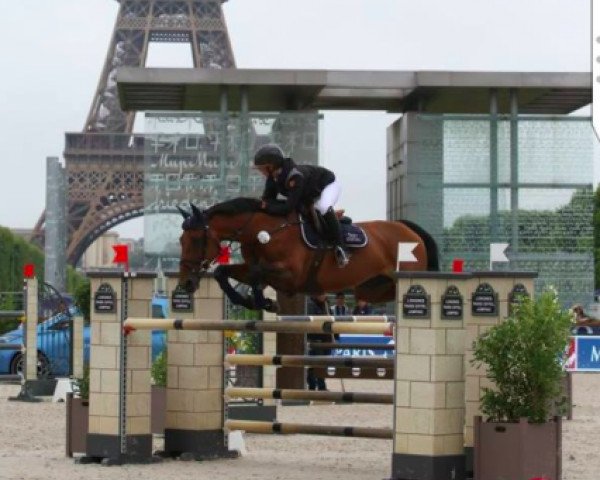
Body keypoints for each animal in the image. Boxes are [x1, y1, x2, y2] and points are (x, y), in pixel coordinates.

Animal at [176, 198, 438, 314]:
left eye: (196, 240)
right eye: (181, 241)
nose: (186, 283)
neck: (264, 231)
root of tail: (408, 228)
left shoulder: (292, 276)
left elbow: (258, 273)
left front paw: (263, 301)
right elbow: (223, 272)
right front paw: (253, 301)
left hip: (404, 276)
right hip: (373, 288)